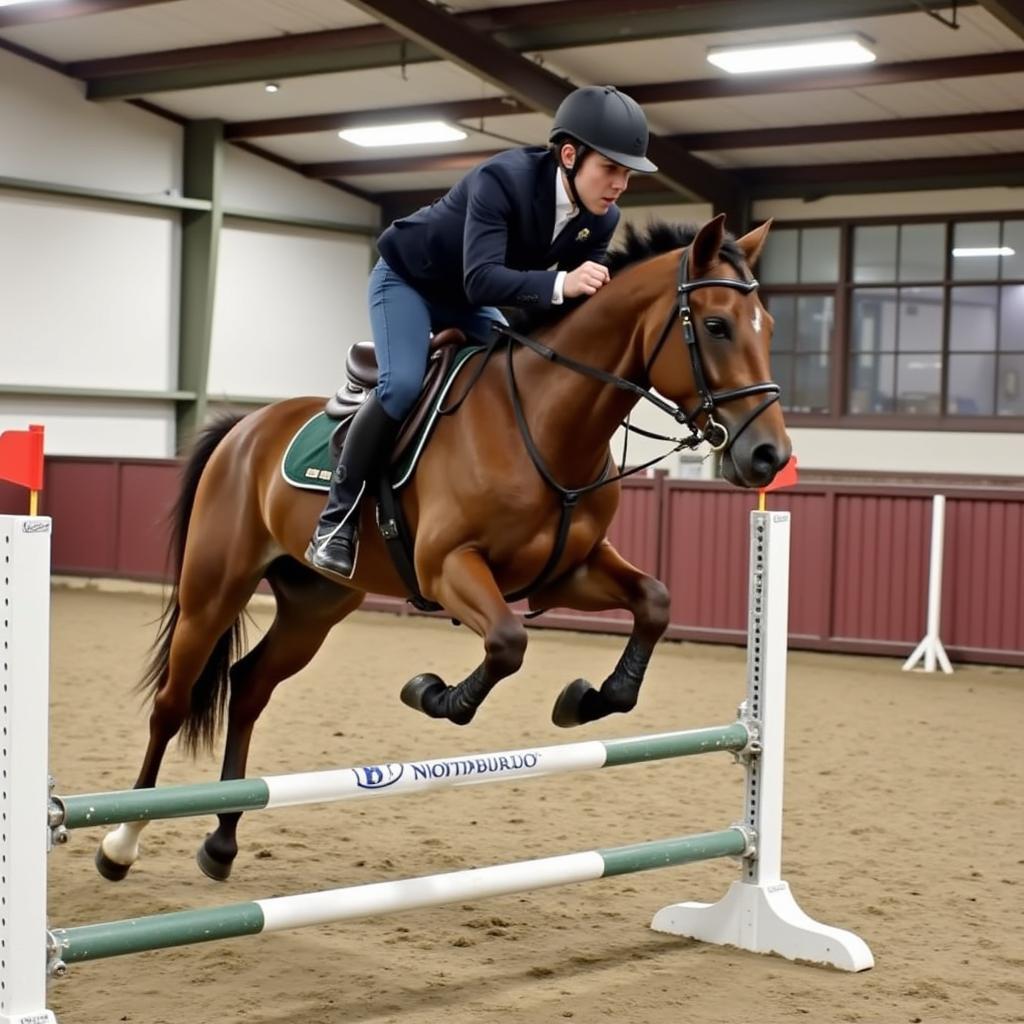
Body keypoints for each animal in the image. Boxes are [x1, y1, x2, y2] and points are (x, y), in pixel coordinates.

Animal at [94, 214, 790, 880]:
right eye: (718, 326)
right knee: (172, 703)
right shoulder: (448, 568)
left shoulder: (569, 571)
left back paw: (222, 842)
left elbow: (654, 601)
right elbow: (507, 643)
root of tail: (243, 427)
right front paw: (431, 693)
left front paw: (588, 699)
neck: (544, 421)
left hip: (315, 605)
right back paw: (119, 844)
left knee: (250, 685)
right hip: (215, 588)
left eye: (771, 329)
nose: (769, 457)